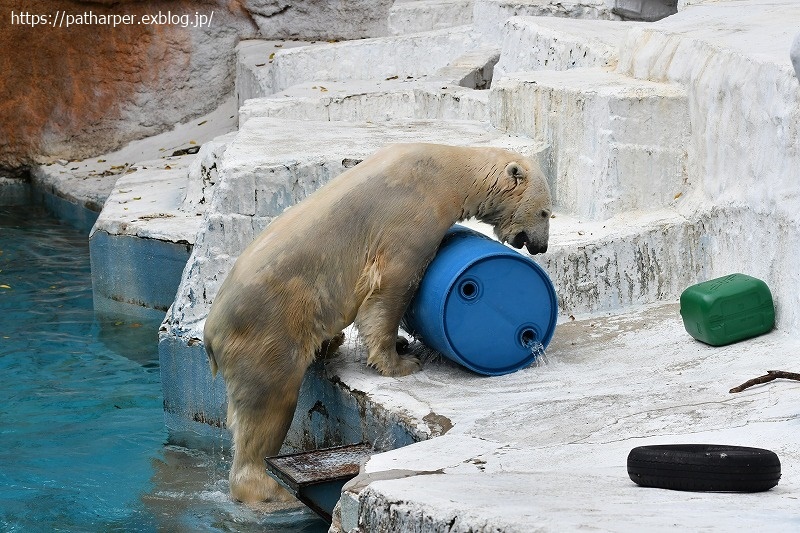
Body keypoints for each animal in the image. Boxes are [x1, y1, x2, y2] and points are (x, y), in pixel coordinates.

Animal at [203, 142, 552, 502]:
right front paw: (401, 363)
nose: (541, 247)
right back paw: (270, 491)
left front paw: (401, 344)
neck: (448, 170)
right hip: (268, 331)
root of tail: (211, 336)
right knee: (268, 405)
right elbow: (391, 284)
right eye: (545, 212)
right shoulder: (412, 213)